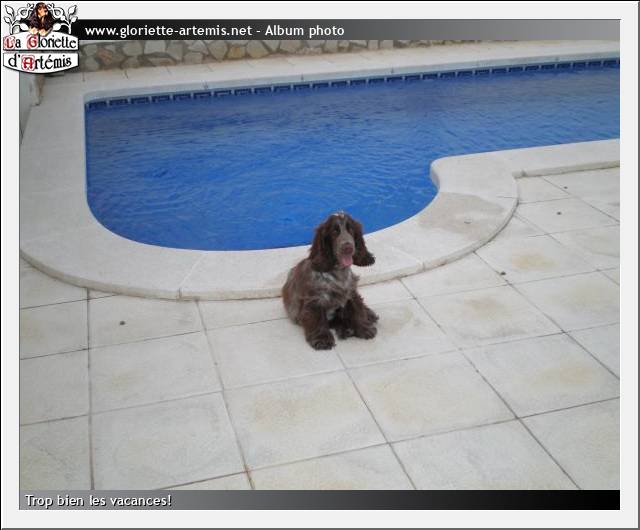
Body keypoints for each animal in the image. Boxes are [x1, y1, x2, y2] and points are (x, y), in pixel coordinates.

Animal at [282, 211, 378, 350]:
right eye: (334, 231)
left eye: (351, 229)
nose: (348, 247)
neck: (338, 272)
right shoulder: (314, 301)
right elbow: (318, 320)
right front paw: (322, 339)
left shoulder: (350, 293)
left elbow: (357, 311)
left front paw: (364, 328)